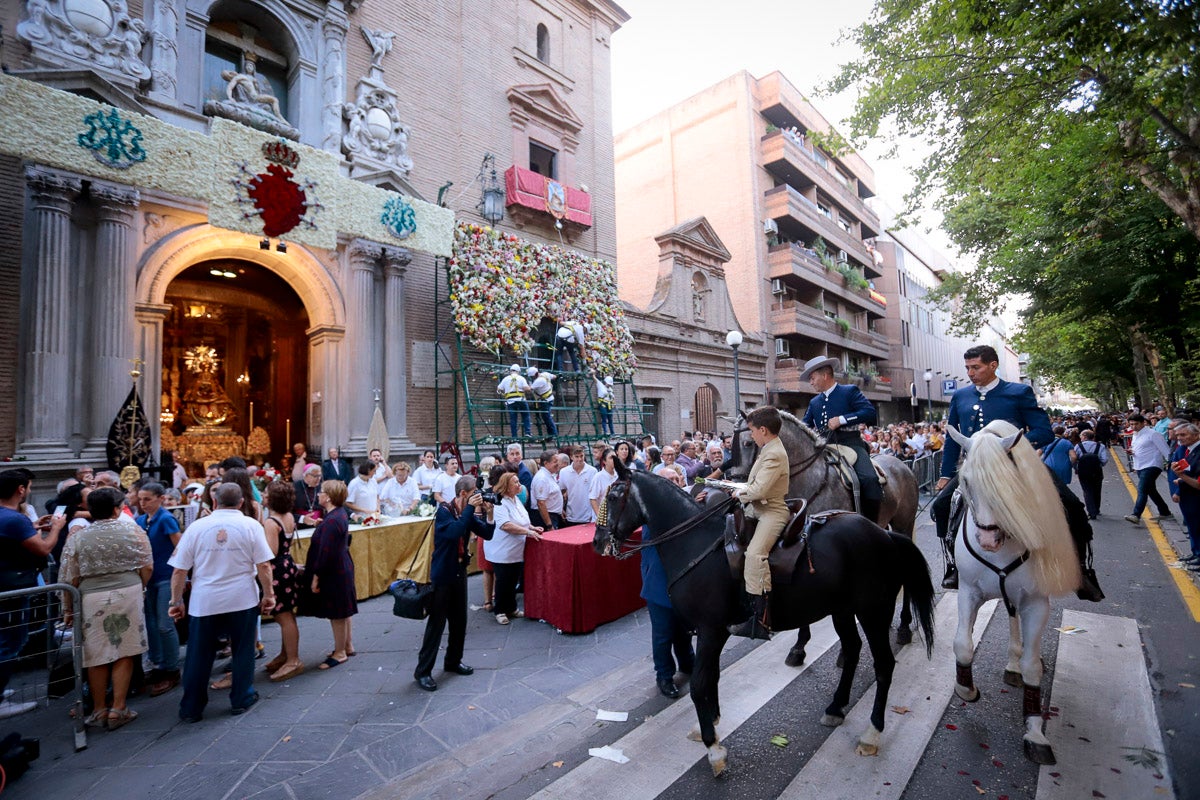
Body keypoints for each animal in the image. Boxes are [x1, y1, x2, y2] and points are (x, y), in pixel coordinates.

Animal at [945, 419, 1080, 762]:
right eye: (966, 481)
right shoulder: (968, 591)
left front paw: (1035, 732)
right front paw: (966, 689)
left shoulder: (1036, 601)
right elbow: (963, 644)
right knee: (1011, 618)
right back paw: (1011, 662)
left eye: (1008, 482)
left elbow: (1032, 667)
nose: (987, 540)